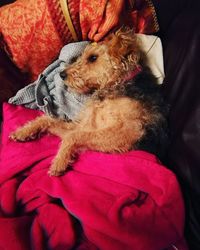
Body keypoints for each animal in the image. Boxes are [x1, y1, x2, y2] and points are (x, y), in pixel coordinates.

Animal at [9, 27, 169, 176]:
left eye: (93, 58)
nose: (62, 74)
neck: (116, 85)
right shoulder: (85, 125)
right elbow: (47, 119)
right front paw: (23, 132)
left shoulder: (128, 132)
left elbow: (73, 136)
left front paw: (59, 162)